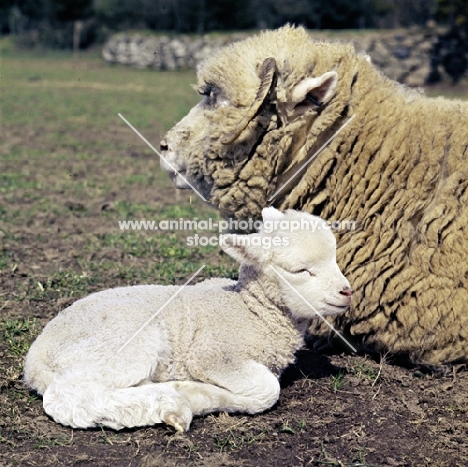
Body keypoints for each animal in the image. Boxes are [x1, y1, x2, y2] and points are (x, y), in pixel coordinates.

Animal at [22, 210, 352, 434]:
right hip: (123, 343)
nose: (346, 291)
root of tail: (35, 360)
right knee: (69, 397)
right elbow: (267, 390)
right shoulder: (212, 354)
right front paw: (195, 394)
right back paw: (168, 404)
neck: (249, 310)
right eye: (301, 270)